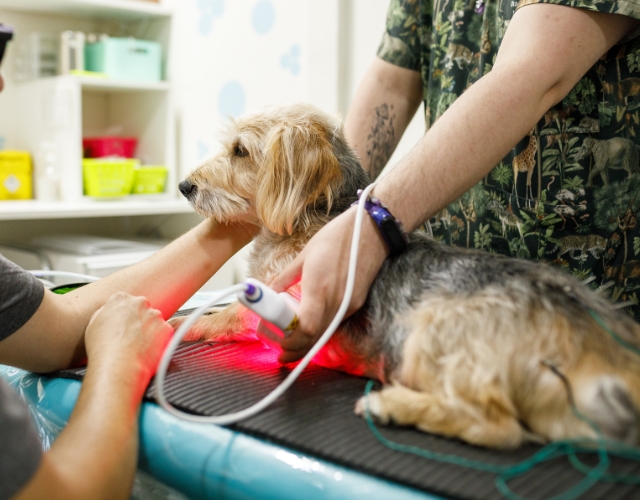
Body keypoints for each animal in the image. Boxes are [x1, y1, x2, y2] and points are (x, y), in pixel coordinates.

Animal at [174, 102, 640, 450]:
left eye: (240, 151)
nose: (184, 186)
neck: (313, 218)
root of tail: (598, 333)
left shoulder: (280, 302)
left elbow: (222, 316)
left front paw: (179, 325)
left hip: (433, 332)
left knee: (499, 429)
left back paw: (393, 406)